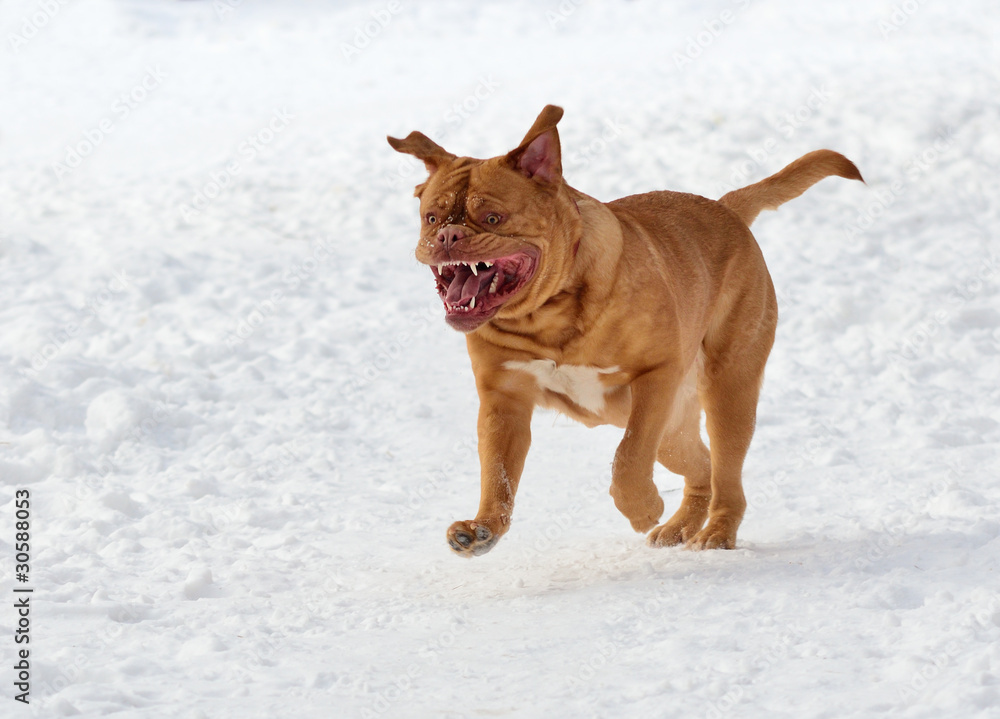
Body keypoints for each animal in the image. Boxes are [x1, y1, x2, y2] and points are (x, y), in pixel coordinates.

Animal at [386, 105, 864, 556]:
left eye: (492, 217)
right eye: (431, 217)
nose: (447, 236)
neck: (548, 314)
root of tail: (725, 208)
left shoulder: (656, 376)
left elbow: (629, 457)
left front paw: (642, 507)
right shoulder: (504, 400)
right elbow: (498, 474)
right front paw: (483, 528)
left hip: (727, 390)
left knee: (725, 471)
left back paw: (715, 532)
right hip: (675, 430)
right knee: (702, 465)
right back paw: (681, 525)